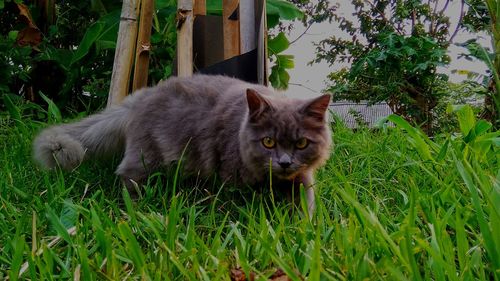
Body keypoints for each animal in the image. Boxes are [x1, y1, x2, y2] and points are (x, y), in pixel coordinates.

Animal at [32, 74, 332, 212]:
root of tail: (140, 97)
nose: (284, 162)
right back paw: (135, 206)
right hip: (146, 156)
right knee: (127, 175)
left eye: (301, 143)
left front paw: (304, 226)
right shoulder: (231, 175)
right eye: (268, 142)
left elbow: (306, 200)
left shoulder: (303, 177)